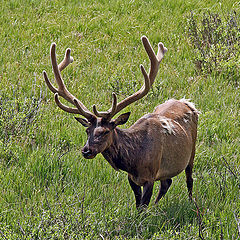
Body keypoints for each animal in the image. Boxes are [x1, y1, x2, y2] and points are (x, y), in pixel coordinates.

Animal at [42, 36, 199, 208]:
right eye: (87, 130)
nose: (86, 150)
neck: (134, 160)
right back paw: (157, 205)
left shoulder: (150, 176)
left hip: (191, 151)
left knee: (189, 179)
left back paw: (192, 203)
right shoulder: (131, 178)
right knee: (167, 182)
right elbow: (138, 205)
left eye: (105, 131)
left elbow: (143, 206)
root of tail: (186, 102)